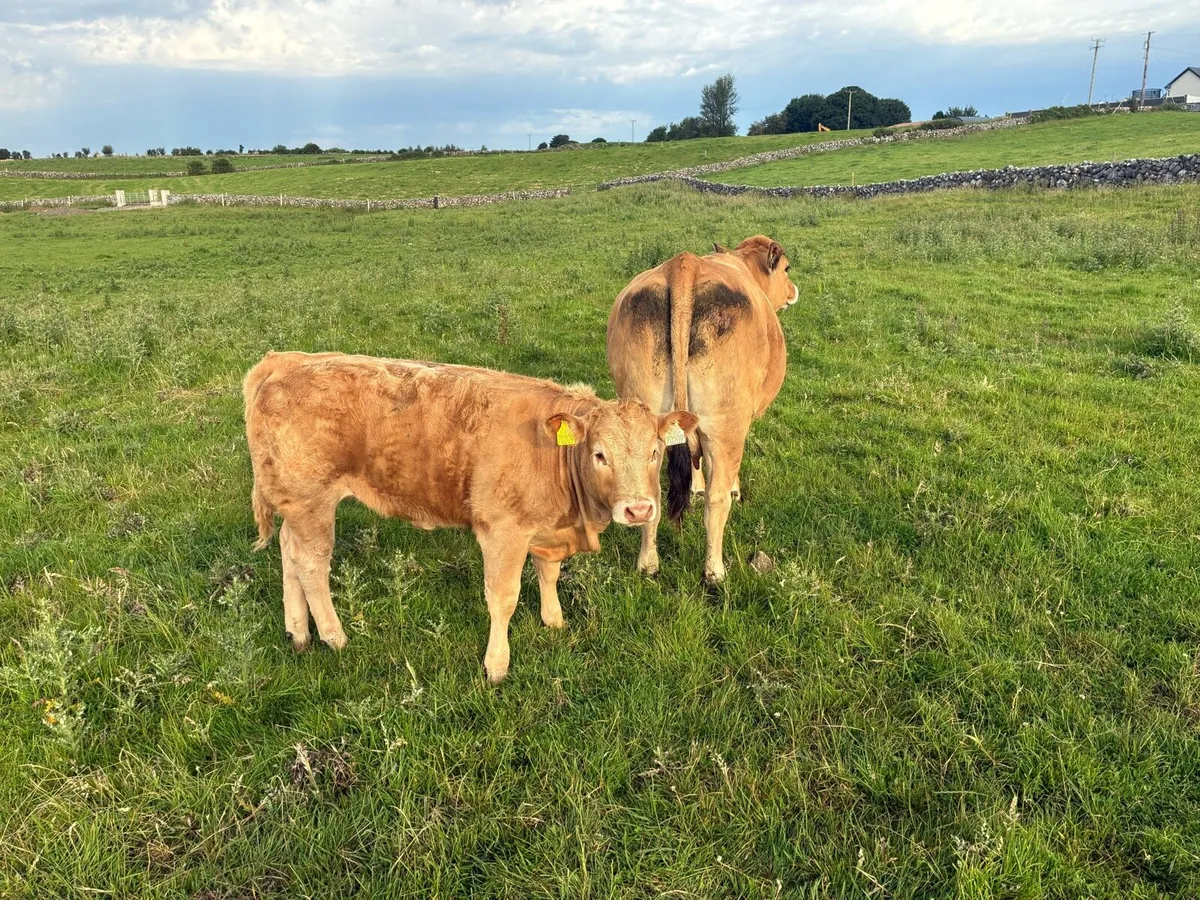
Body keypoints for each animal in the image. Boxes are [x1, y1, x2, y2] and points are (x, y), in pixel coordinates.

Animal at [243, 351, 698, 682]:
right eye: (601, 454)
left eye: (655, 451)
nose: (639, 509)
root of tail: (287, 359)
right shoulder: (502, 531)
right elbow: (503, 598)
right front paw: (497, 665)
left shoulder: (546, 527)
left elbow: (549, 574)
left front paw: (554, 620)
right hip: (312, 501)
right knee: (311, 564)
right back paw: (334, 637)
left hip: (298, 506)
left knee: (289, 553)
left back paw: (298, 633)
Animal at [606, 235, 798, 583]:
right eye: (787, 269)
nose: (793, 290)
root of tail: (684, 265)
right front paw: (733, 489)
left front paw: (694, 486)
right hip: (726, 427)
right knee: (716, 499)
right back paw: (714, 572)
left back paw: (648, 565)